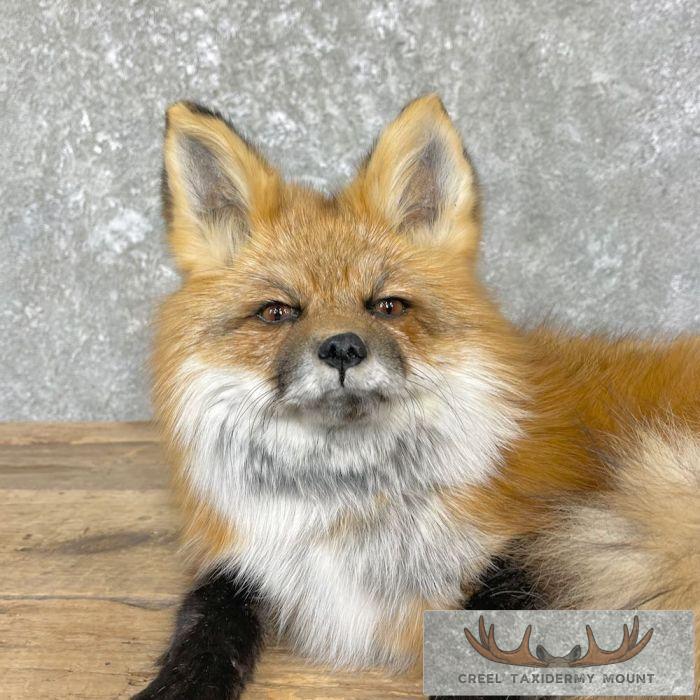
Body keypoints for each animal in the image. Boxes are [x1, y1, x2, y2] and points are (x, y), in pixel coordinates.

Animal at [134, 95, 699, 699]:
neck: (350, 511)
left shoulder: (546, 541)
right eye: (277, 312)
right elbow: (205, 612)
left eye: (387, 306)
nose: (342, 348)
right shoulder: (251, 558)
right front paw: (181, 682)